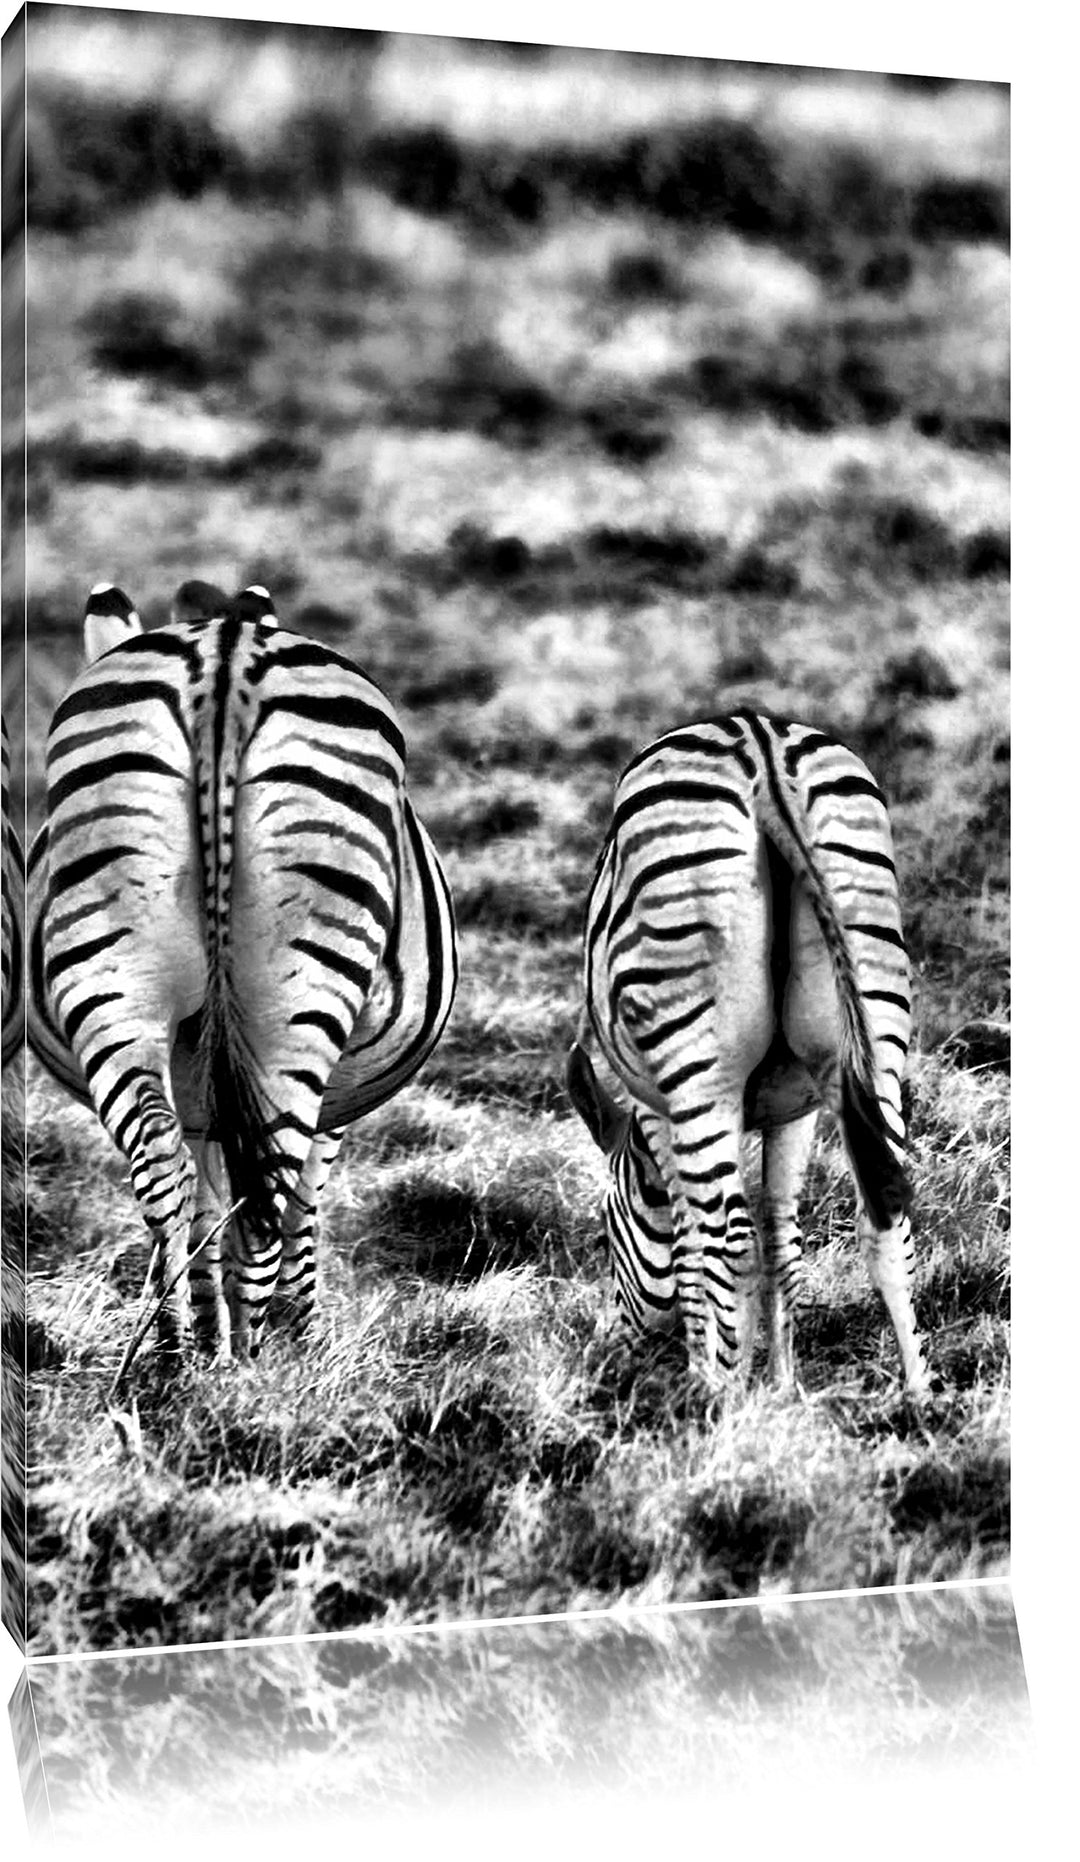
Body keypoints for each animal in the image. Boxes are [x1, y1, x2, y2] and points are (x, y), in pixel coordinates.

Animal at [27, 582, 458, 1361]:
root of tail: (223, 661)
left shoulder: (202, 1085)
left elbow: (205, 1200)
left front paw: (207, 1326)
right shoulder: (328, 1099)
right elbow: (298, 1203)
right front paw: (296, 1325)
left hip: (112, 976)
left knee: (163, 1164)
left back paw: (171, 1353)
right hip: (294, 1004)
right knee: (270, 1190)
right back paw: (250, 1364)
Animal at [566, 708, 931, 1399]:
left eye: (604, 1233)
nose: (607, 1356)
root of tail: (758, 745)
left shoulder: (660, 1112)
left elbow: (692, 1248)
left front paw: (709, 1373)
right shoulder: (798, 1109)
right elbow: (782, 1239)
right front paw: (783, 1389)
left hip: (695, 1063)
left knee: (727, 1242)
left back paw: (724, 1406)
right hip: (874, 1031)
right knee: (887, 1212)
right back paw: (919, 1396)